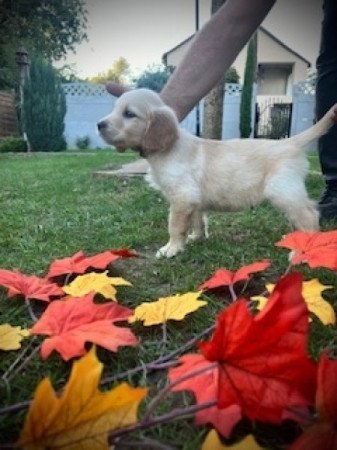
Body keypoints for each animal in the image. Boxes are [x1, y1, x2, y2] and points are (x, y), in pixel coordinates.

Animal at [98, 89, 336, 256]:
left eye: (129, 114)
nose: (99, 124)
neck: (169, 147)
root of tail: (290, 142)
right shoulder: (193, 200)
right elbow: (197, 220)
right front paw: (195, 238)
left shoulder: (182, 197)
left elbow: (174, 226)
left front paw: (170, 249)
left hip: (282, 191)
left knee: (310, 215)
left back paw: (300, 251)